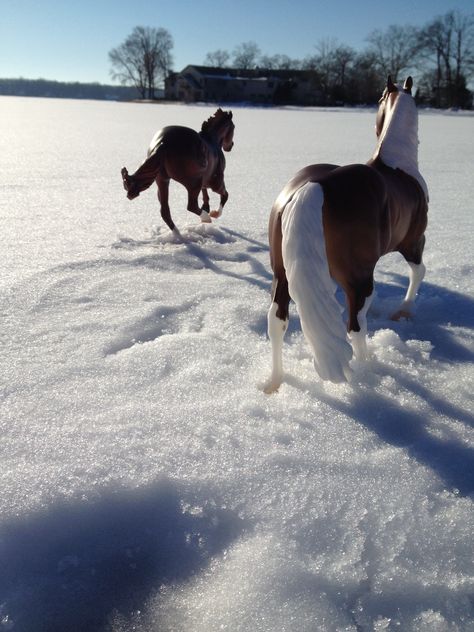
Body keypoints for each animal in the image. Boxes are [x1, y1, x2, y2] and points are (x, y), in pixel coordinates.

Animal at [266, 76, 430, 392]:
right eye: (380, 100)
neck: (398, 165)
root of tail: (315, 185)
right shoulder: (413, 244)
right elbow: (419, 272)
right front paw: (404, 311)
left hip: (281, 276)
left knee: (277, 321)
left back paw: (274, 382)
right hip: (360, 282)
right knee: (355, 326)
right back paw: (368, 371)